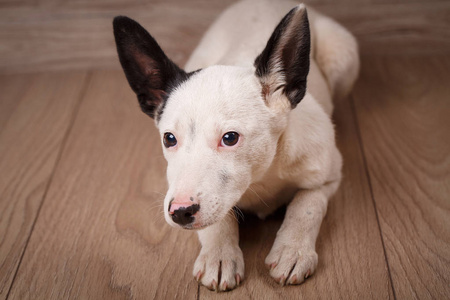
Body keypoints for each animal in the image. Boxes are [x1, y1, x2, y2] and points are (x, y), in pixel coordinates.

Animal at [112, 0, 358, 292]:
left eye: (230, 138)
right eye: (169, 139)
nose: (180, 213)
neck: (262, 175)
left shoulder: (330, 175)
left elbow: (307, 205)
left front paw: (293, 250)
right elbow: (217, 219)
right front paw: (219, 255)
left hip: (343, 53)